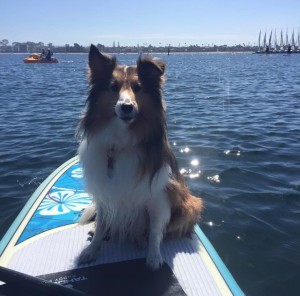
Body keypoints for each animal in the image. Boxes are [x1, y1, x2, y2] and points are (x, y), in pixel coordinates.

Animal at [77, 44, 204, 270]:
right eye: (113, 87)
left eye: (138, 88)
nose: (127, 107)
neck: (120, 144)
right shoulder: (104, 192)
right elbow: (101, 224)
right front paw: (92, 249)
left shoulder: (158, 197)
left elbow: (154, 232)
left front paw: (153, 258)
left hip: (191, 204)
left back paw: (140, 239)